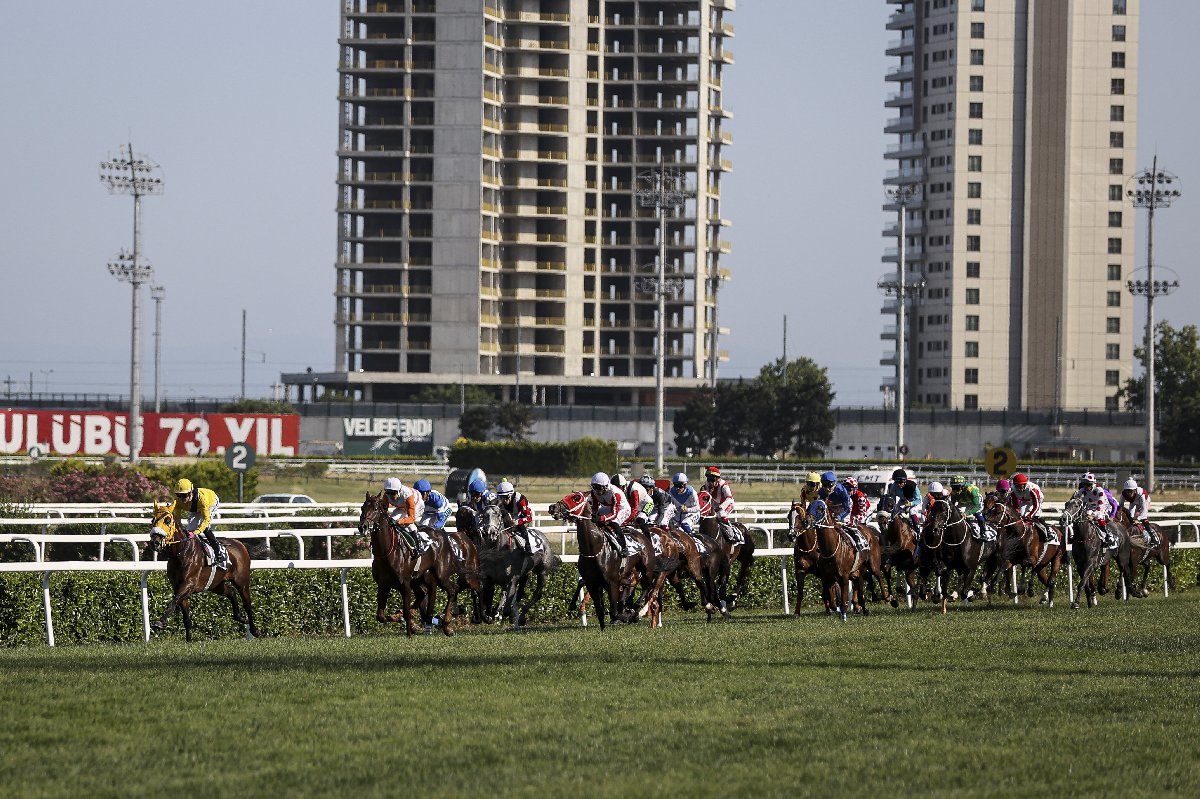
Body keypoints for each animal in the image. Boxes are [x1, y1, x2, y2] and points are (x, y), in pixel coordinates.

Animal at [146, 499, 259, 643]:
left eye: (167, 520)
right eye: (152, 520)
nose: (155, 542)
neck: (181, 552)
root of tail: (240, 544)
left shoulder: (188, 584)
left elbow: (173, 602)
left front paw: (160, 622)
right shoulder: (177, 586)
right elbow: (185, 617)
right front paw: (189, 641)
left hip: (242, 582)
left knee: (247, 604)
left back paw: (254, 630)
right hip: (216, 584)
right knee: (231, 592)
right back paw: (241, 618)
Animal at [357, 491, 480, 633]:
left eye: (376, 509)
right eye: (362, 508)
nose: (363, 526)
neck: (386, 551)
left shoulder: (405, 583)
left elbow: (407, 610)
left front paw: (409, 626)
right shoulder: (383, 584)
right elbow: (381, 616)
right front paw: (397, 618)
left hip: (441, 575)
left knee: (453, 590)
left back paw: (447, 624)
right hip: (420, 579)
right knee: (427, 594)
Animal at [547, 489, 657, 623]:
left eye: (576, 498)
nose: (552, 507)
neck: (593, 550)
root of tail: (642, 535)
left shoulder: (612, 583)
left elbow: (614, 613)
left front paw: (626, 615)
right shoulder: (593, 582)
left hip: (646, 568)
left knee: (647, 586)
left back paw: (636, 610)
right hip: (631, 571)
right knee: (631, 583)